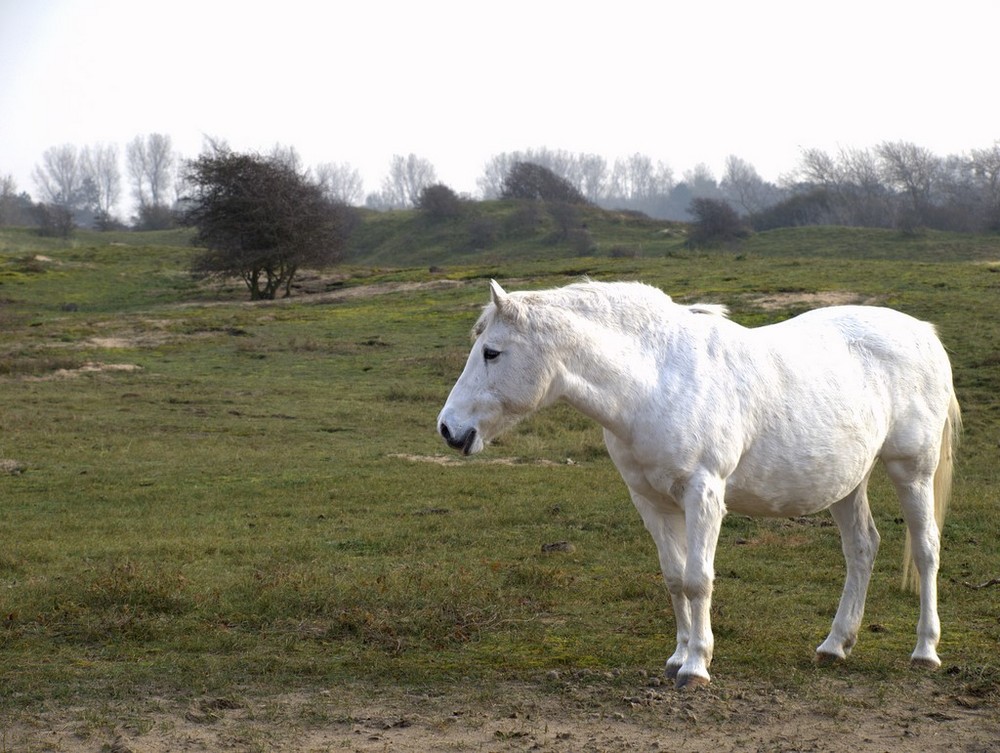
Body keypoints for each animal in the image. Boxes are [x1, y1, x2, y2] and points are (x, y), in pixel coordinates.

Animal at [438, 278, 960, 688]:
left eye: (491, 352)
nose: (449, 429)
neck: (654, 381)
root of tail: (924, 334)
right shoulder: (650, 501)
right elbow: (673, 578)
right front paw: (677, 657)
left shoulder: (703, 495)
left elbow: (697, 579)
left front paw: (696, 666)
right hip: (847, 484)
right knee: (862, 548)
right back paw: (834, 645)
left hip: (911, 469)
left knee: (926, 550)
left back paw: (925, 651)